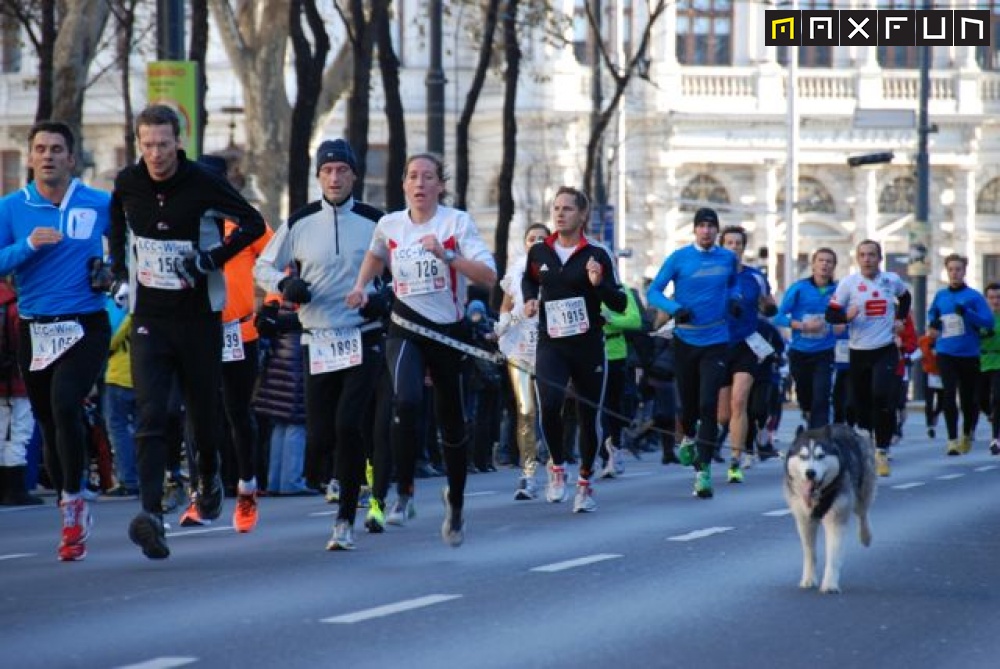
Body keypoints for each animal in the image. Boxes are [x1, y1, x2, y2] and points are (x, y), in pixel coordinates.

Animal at [780, 426, 876, 592]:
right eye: (803, 456)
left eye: (821, 456)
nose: (810, 473)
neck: (817, 495)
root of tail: (845, 426)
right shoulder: (804, 521)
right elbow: (810, 552)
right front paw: (808, 579)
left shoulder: (836, 518)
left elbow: (833, 555)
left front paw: (830, 584)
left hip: (862, 489)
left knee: (862, 512)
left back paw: (866, 536)